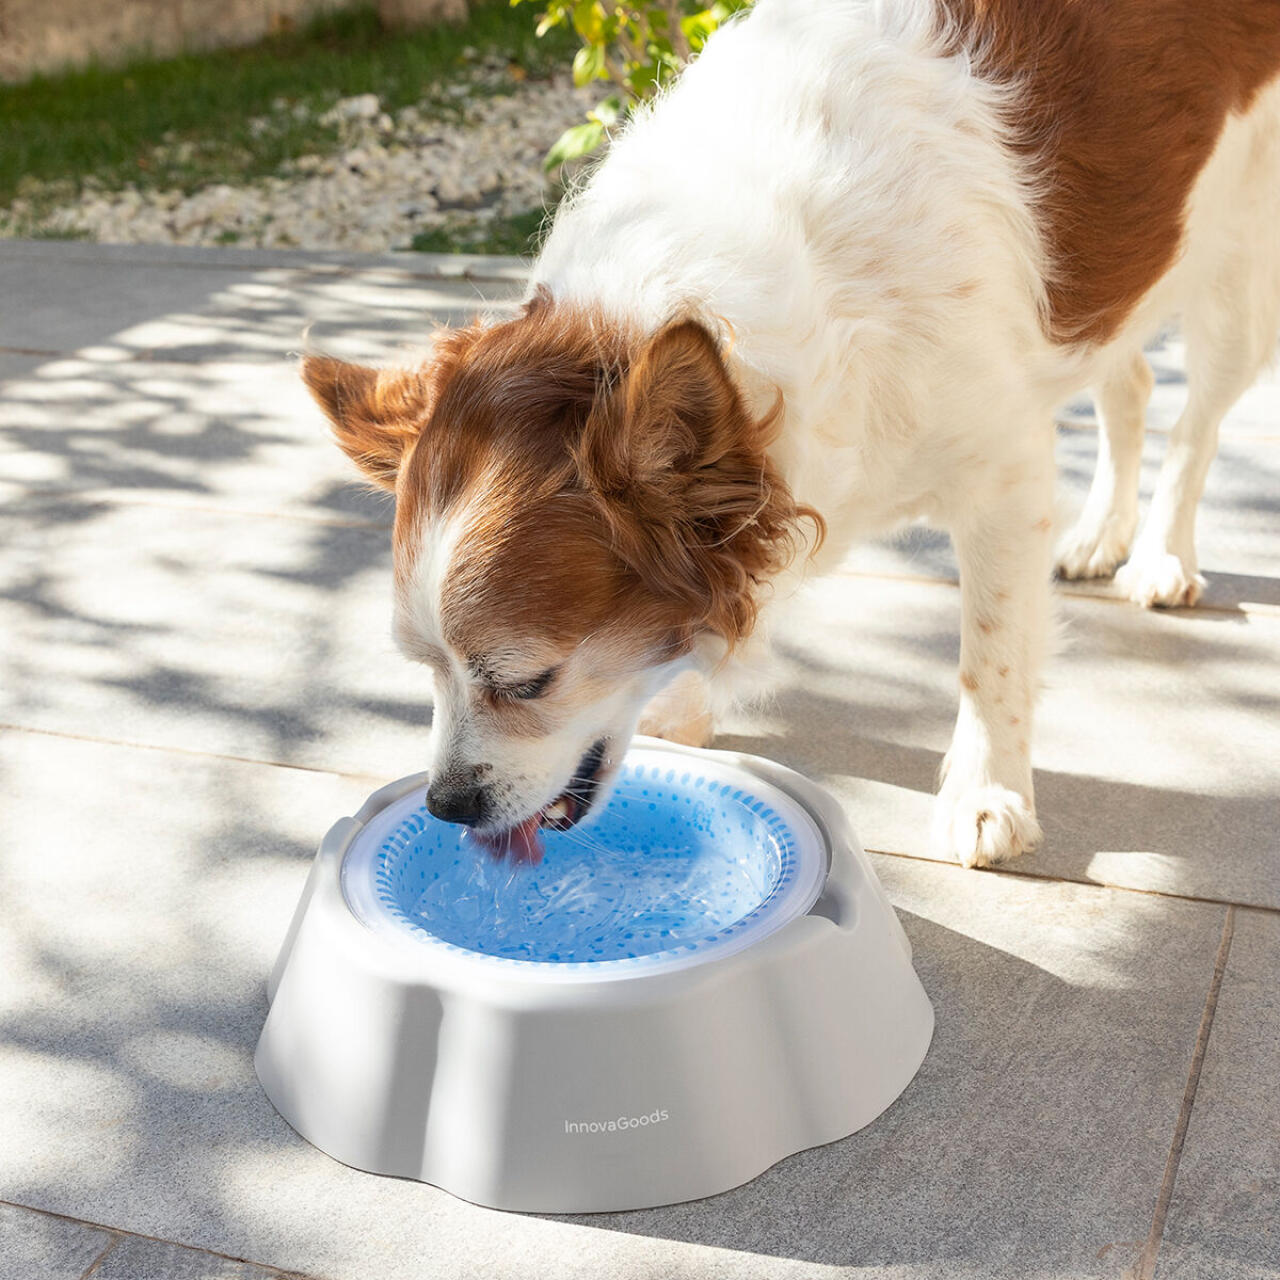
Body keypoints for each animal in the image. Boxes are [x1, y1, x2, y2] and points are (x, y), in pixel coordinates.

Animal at [302, 0, 1280, 870]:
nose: (444, 804)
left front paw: (988, 792)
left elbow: (992, 652)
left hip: (1237, 277)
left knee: (1196, 421)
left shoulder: (1004, 476)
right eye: (424, 666)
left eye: (524, 681)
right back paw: (1103, 534)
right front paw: (685, 701)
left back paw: (1161, 556)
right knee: (1133, 383)